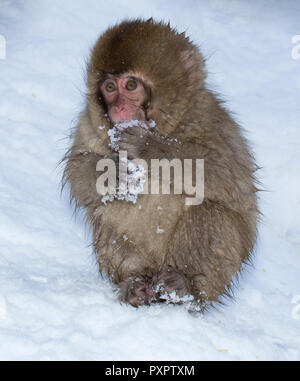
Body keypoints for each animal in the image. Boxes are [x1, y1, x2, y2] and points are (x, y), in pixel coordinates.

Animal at [62, 19, 258, 310]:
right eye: (109, 88)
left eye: (131, 85)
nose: (118, 108)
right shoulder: (88, 123)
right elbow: (78, 170)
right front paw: (113, 173)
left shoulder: (212, 120)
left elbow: (228, 178)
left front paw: (150, 147)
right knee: (108, 211)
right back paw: (135, 283)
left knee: (210, 209)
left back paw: (184, 286)